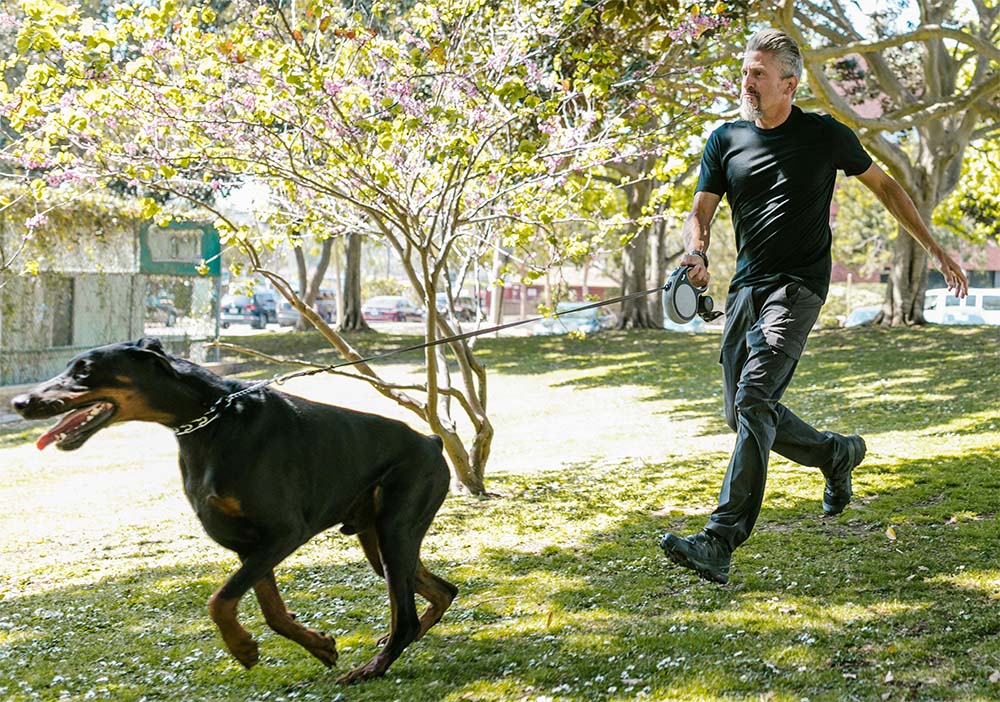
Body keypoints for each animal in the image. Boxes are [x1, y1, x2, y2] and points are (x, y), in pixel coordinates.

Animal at [10, 338, 458, 684]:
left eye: (85, 370)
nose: (19, 401)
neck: (211, 421)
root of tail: (432, 441)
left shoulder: (283, 532)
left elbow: (219, 601)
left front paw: (242, 647)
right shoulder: (249, 544)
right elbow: (270, 610)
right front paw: (317, 645)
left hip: (395, 528)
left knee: (407, 616)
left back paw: (374, 667)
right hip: (377, 540)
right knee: (442, 591)